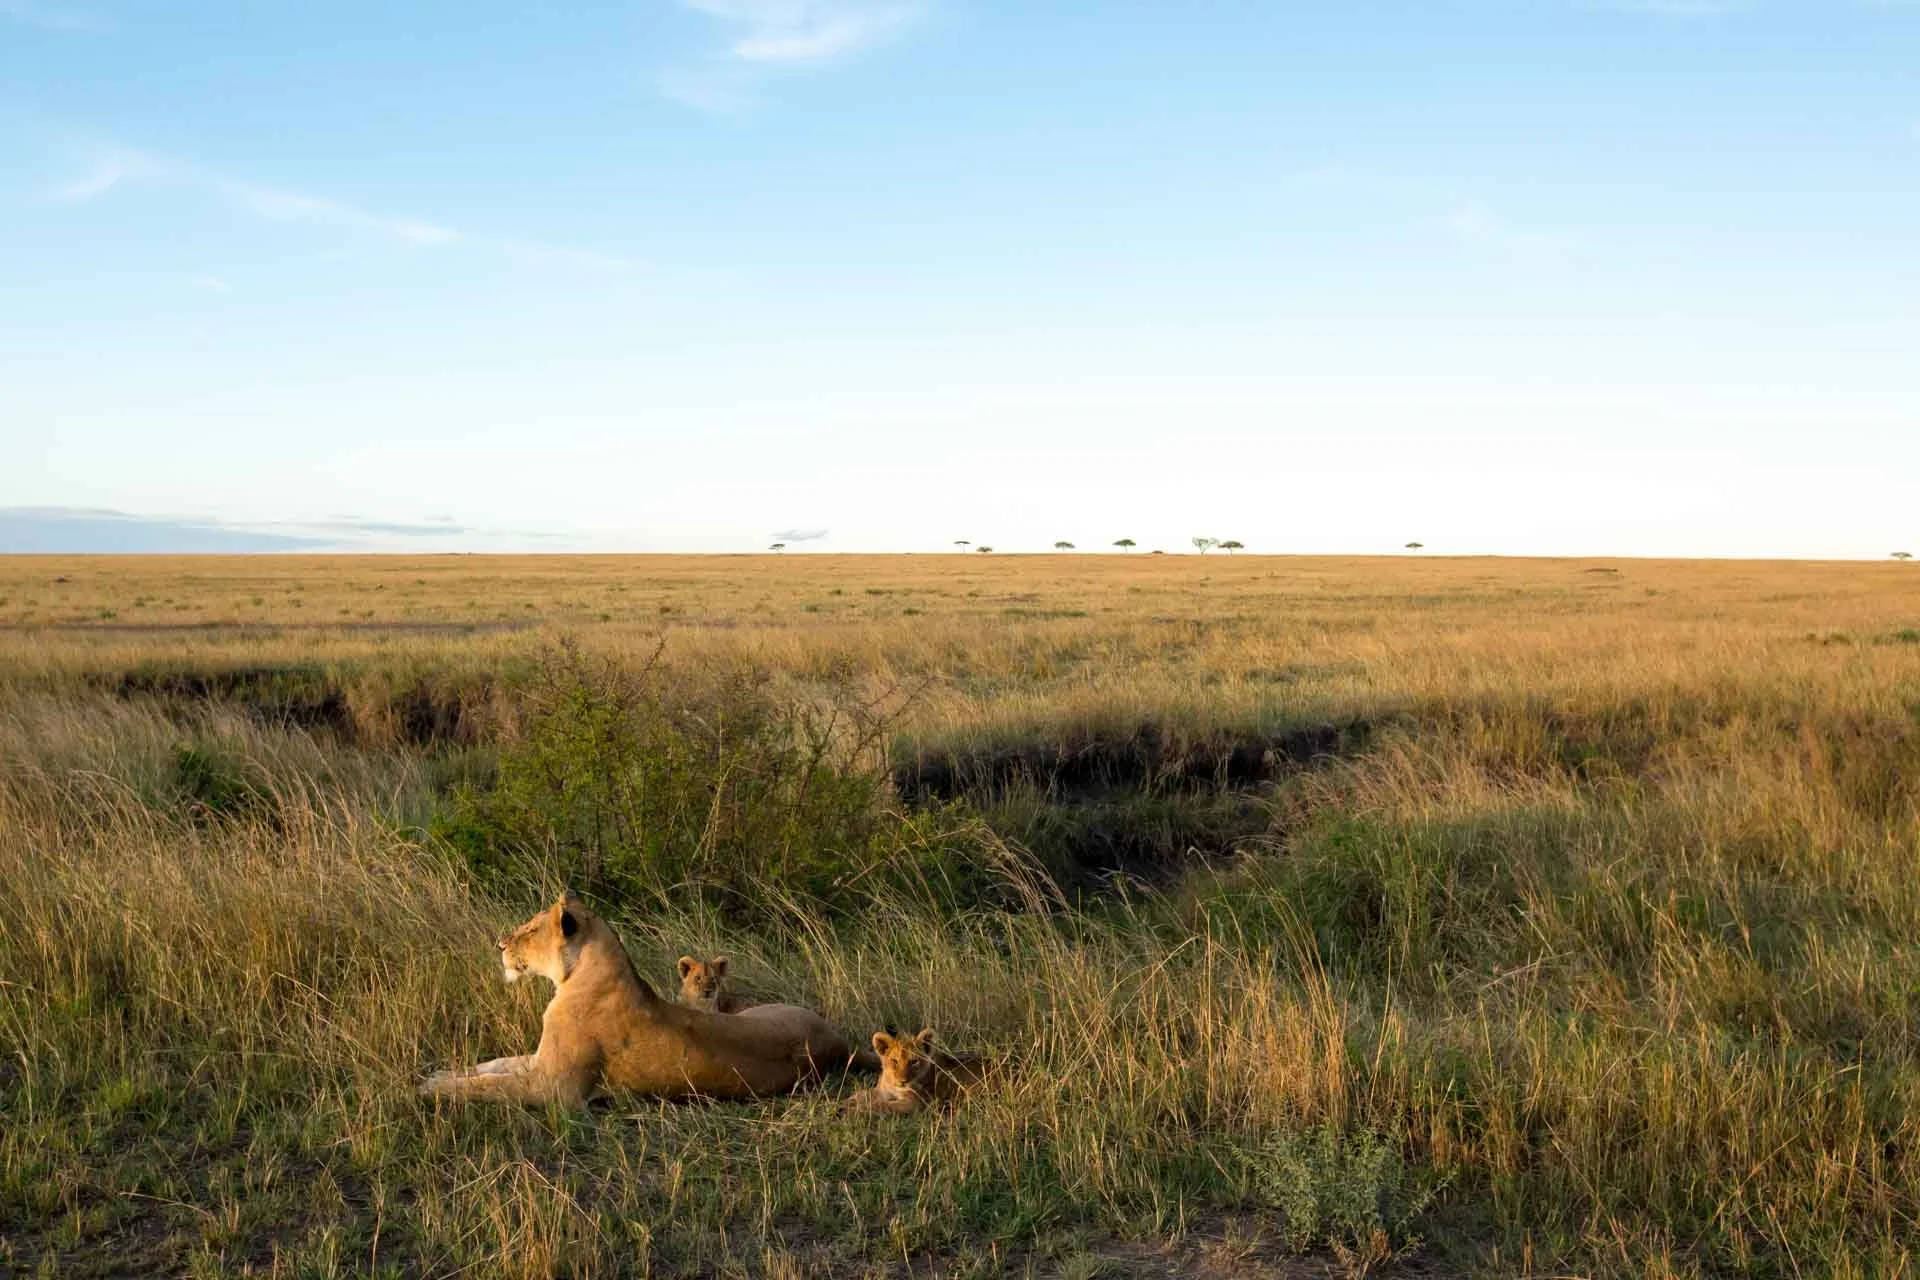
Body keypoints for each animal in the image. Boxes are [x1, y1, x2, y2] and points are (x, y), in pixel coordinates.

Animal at [418, 891, 867, 1106]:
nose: (498, 945)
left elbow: (491, 1087)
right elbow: (492, 1066)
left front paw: (430, 1091)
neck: (576, 977)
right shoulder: (540, 1061)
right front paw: (441, 1074)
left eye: (530, 929)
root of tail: (839, 1043)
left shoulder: (552, 1089)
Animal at [846, 1028, 992, 1115]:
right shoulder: (882, 1091)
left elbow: (881, 1105)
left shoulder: (914, 1103)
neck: (893, 1084)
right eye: (894, 1061)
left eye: (914, 1062)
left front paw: (853, 1111)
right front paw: (844, 1104)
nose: (903, 1081)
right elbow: (861, 1094)